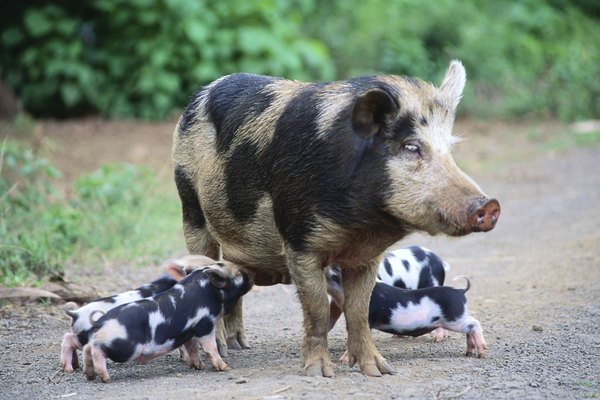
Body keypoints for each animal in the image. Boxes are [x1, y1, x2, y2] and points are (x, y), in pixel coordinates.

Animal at [172, 60, 502, 378]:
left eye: (451, 150)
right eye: (411, 146)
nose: (490, 205)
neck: (360, 225)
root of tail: (202, 94)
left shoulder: (367, 256)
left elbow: (359, 311)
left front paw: (379, 371)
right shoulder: (299, 239)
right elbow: (317, 309)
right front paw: (318, 372)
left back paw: (240, 344)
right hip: (189, 204)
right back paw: (221, 350)